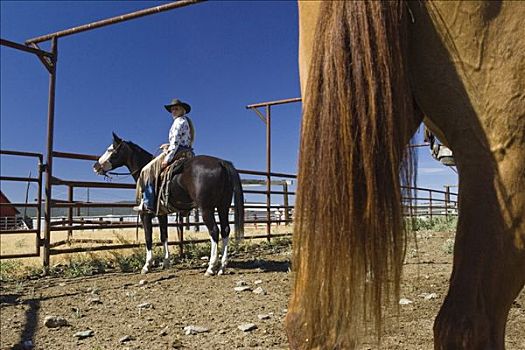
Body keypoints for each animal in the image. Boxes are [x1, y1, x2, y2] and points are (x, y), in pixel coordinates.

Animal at [92, 133, 244, 274]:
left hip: (206, 209)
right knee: (225, 230)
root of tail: (221, 163)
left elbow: (148, 238)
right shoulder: (162, 214)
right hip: (223, 206)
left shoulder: (145, 214)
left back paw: (211, 267)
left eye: (111, 149)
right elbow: (164, 236)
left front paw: (147, 265)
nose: (96, 166)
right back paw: (222, 266)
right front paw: (166, 262)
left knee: (214, 231)